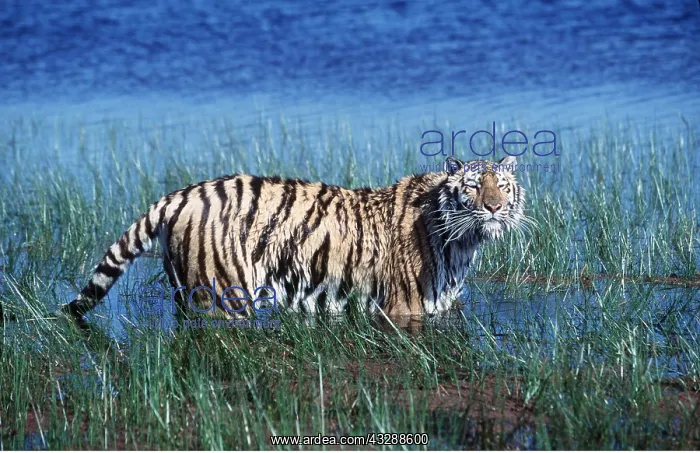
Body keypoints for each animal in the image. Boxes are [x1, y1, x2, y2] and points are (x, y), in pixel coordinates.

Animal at [59, 155, 526, 328]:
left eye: (501, 186)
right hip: (221, 295)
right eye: (473, 186)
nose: (493, 207)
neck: (463, 241)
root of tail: (182, 193)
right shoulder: (402, 307)